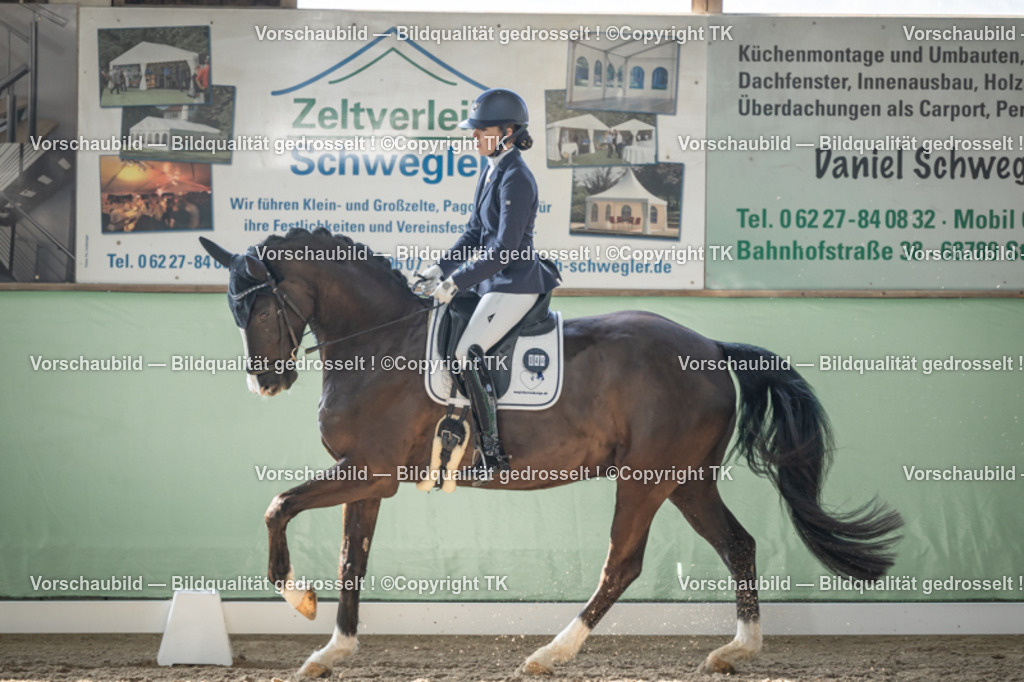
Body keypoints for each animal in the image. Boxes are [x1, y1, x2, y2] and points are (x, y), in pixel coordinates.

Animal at [199, 228, 903, 678]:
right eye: (234, 311)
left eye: (258, 307)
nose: (266, 382)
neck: (378, 341)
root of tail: (710, 347)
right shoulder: (369, 481)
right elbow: (352, 561)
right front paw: (332, 651)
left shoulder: (368, 471)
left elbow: (278, 505)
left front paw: (297, 598)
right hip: (687, 479)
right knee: (739, 545)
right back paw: (739, 651)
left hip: (645, 478)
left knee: (623, 564)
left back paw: (551, 653)